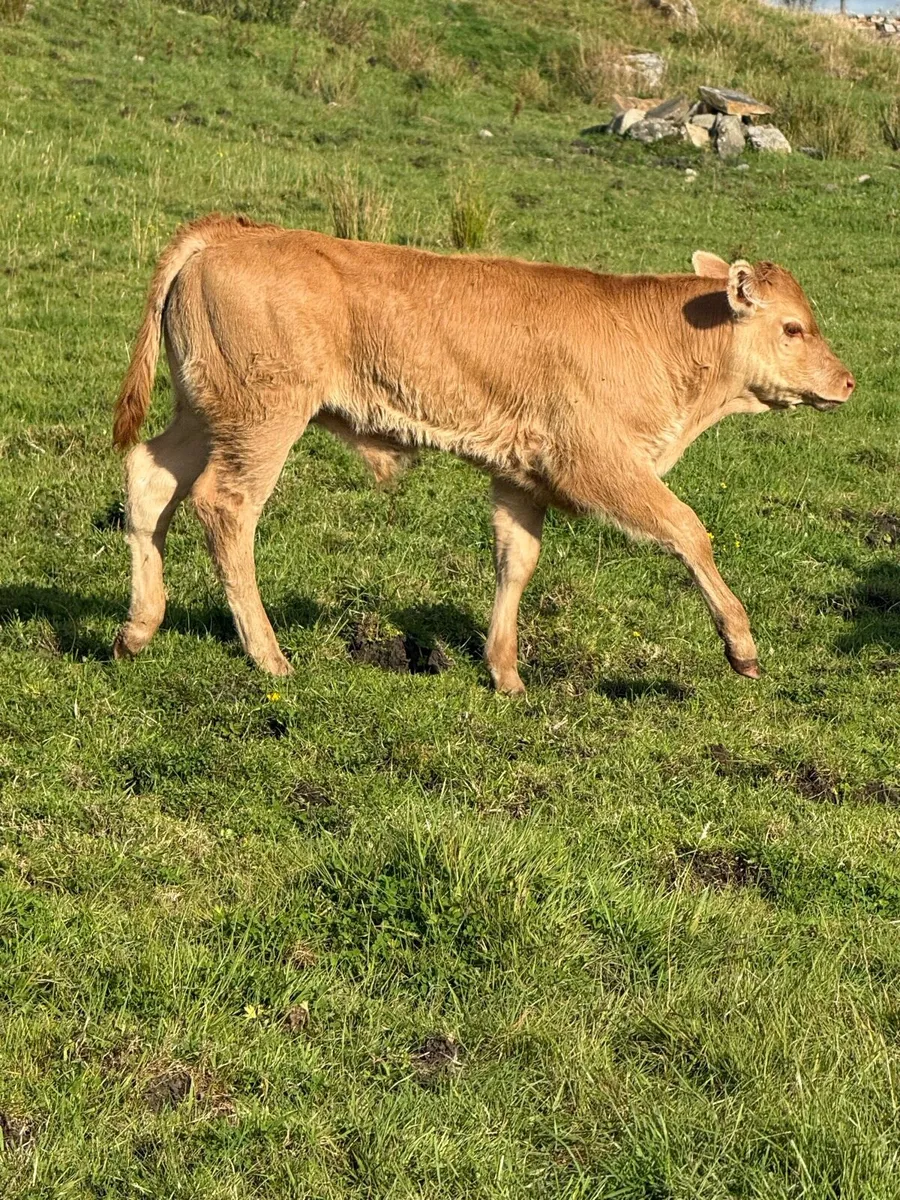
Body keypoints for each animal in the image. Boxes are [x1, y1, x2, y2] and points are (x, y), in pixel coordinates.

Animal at [112, 215, 854, 692]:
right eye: (793, 328)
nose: (847, 381)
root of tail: (235, 230)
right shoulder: (600, 463)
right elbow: (687, 529)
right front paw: (742, 648)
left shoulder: (522, 476)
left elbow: (515, 561)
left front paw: (506, 672)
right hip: (263, 419)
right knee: (226, 506)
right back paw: (268, 657)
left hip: (204, 412)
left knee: (150, 480)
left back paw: (136, 631)